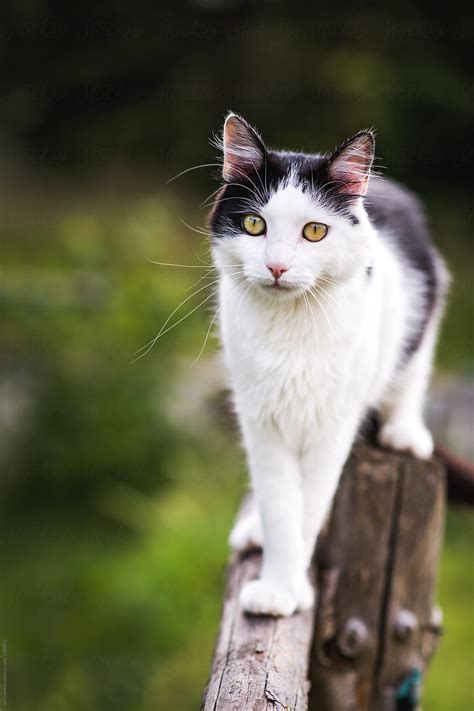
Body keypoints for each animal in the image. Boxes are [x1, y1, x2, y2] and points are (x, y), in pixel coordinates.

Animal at [207, 112, 448, 616]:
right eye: (254, 224)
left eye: (314, 231)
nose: (277, 267)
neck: (290, 327)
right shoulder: (261, 420)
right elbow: (282, 505)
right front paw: (278, 582)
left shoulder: (333, 423)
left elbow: (310, 504)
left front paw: (287, 588)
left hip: (425, 305)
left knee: (409, 381)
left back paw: (405, 433)